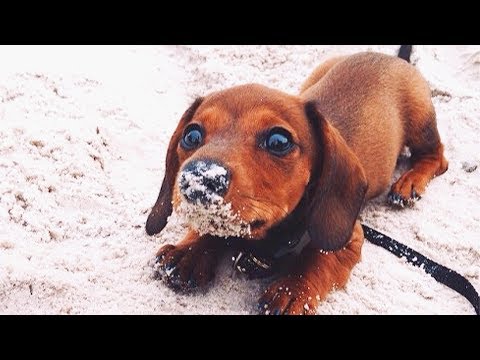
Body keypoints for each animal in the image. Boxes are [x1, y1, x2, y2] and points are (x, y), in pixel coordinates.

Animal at [144, 46, 448, 314]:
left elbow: (318, 259)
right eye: (191, 135)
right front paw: (190, 251)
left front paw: (292, 290)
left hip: (420, 121)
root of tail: (393, 58)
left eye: (279, 141)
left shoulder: (349, 237)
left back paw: (409, 183)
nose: (198, 177)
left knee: (438, 157)